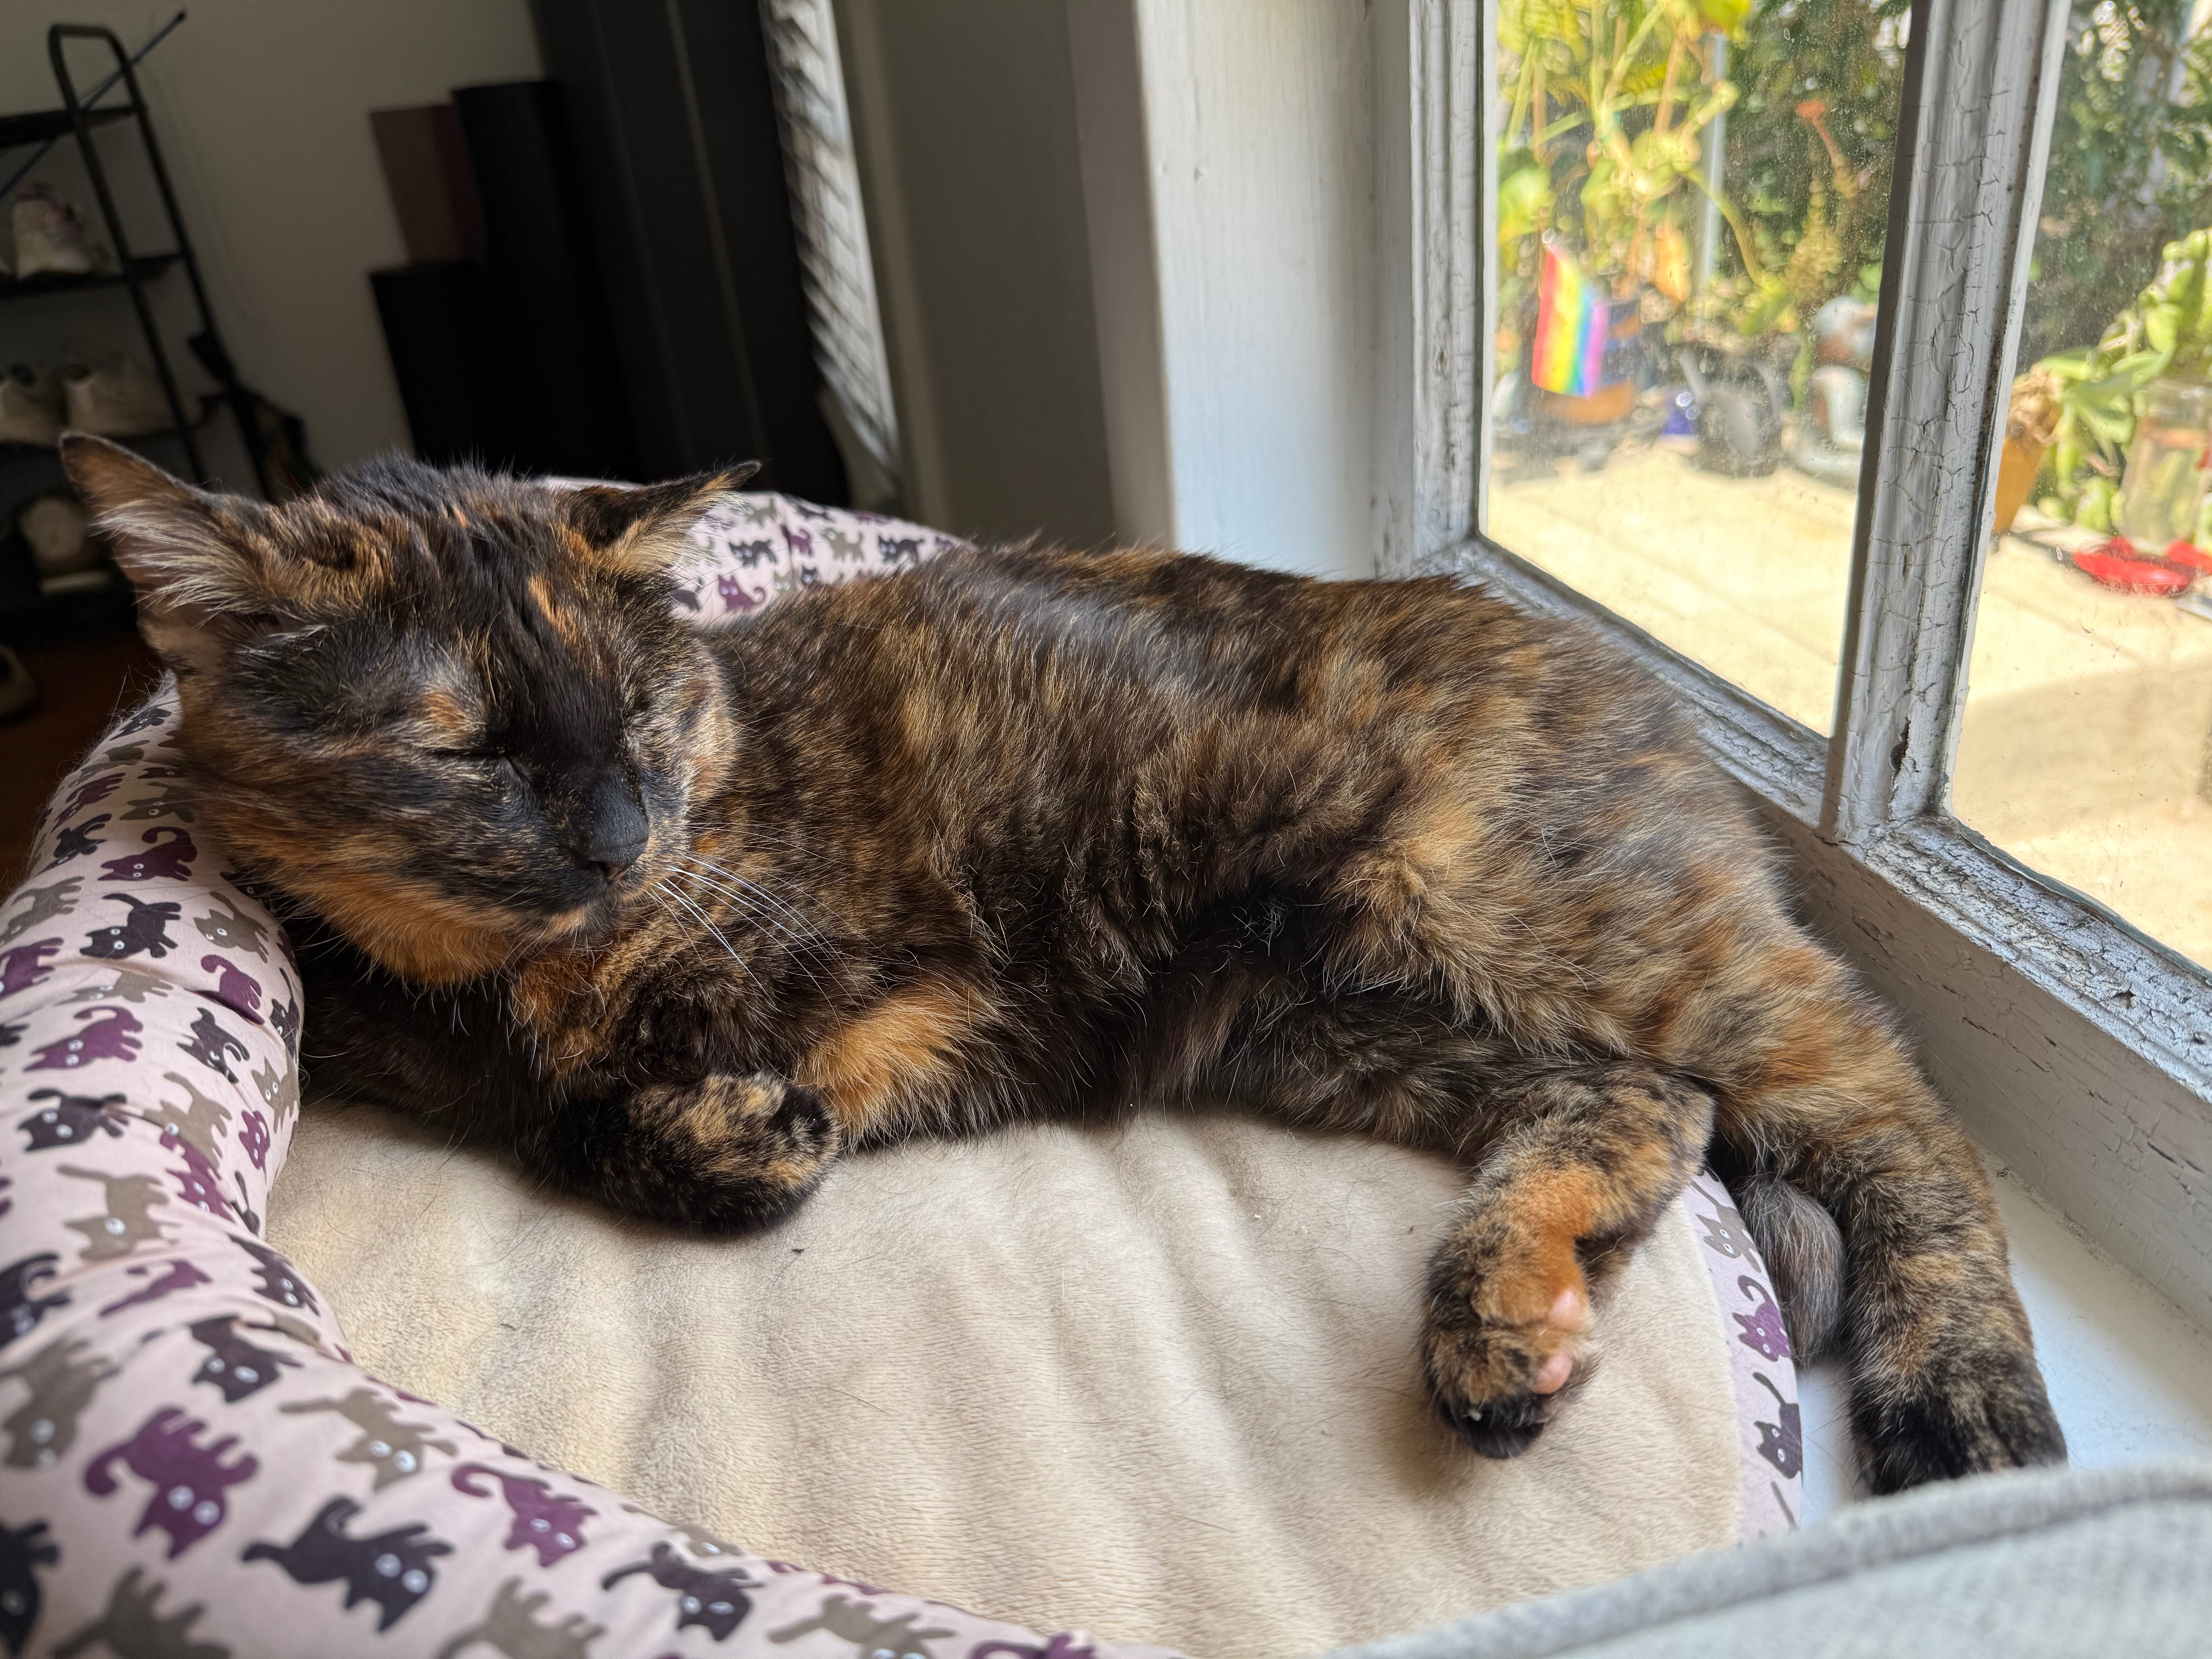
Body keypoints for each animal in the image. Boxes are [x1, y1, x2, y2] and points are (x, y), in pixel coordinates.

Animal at [61, 432, 2064, 1491]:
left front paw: (728, 1131)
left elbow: (634, 1106)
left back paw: (1961, 1405)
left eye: (639, 709)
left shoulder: (892, 980)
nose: (620, 832)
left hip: (1527, 914)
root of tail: (1643, 695)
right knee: (1648, 1106)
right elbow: (587, 1113)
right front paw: (703, 1127)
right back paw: (1507, 1320)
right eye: (465, 745)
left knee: (1899, 1117)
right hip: (1347, 1022)